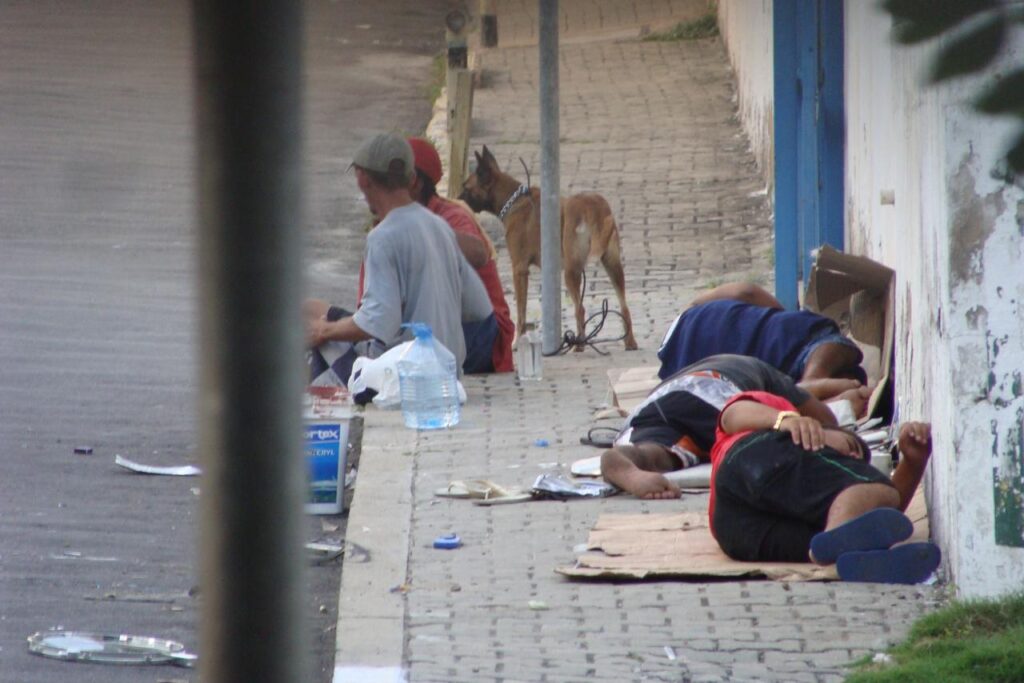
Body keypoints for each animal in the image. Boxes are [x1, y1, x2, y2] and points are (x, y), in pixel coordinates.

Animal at [462, 145, 634, 352]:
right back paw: (630, 343)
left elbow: (520, 313)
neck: (513, 200)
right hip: (612, 265)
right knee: (624, 306)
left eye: (465, 187)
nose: (456, 198)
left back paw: (579, 345)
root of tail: (595, 207)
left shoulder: (519, 269)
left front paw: (516, 342)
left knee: (580, 309)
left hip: (571, 271)